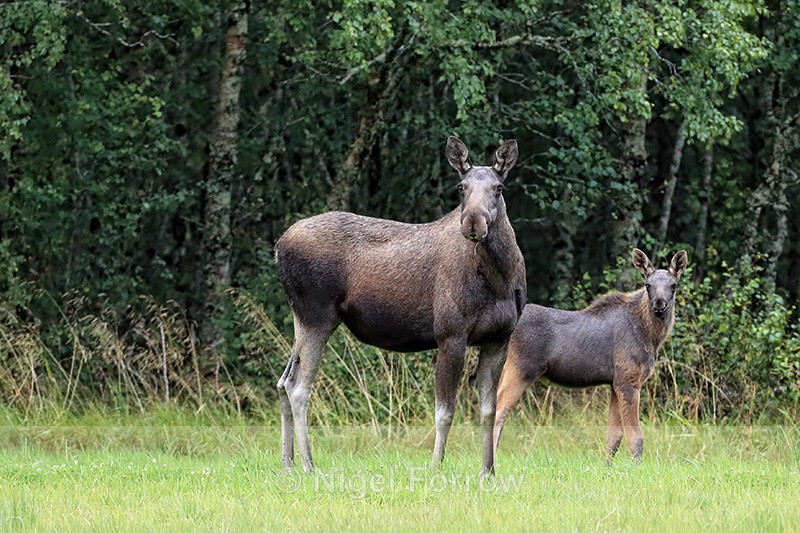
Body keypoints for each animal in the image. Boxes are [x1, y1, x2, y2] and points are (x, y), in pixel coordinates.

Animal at [275, 137, 527, 475]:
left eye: (498, 188)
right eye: (461, 187)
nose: (473, 222)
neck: (499, 279)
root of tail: (278, 247)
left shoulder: (498, 338)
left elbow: (489, 410)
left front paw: (488, 471)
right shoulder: (450, 334)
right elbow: (445, 411)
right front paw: (435, 466)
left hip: (302, 318)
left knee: (284, 380)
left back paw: (287, 464)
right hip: (316, 315)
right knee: (299, 388)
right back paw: (308, 465)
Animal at [493, 248, 688, 462]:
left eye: (673, 286)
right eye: (647, 285)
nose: (659, 304)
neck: (651, 337)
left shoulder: (615, 383)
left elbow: (614, 437)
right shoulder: (628, 381)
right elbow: (636, 436)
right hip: (521, 369)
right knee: (497, 414)